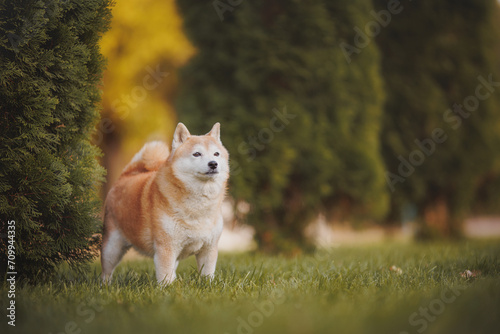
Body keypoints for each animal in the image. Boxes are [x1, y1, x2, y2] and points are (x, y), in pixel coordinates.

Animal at [102, 122, 230, 284]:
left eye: (216, 154)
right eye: (196, 154)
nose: (213, 164)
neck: (198, 205)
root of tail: (126, 176)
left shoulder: (209, 248)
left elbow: (207, 274)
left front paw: (207, 285)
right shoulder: (166, 247)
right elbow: (165, 276)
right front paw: (168, 288)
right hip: (111, 248)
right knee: (107, 271)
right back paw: (105, 285)